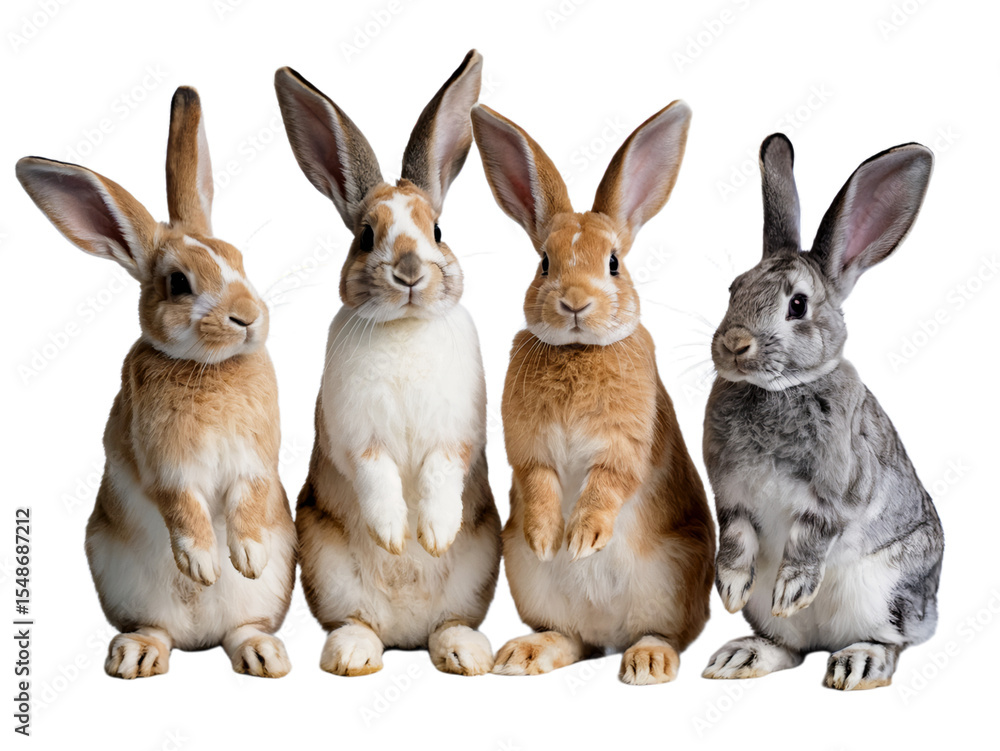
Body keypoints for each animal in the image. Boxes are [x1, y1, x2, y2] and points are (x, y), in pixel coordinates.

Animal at [15, 87, 297, 679]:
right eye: (179, 284)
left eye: (240, 261)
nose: (247, 316)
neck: (209, 367)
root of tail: (200, 640)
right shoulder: (164, 463)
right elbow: (183, 506)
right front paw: (204, 564)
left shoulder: (256, 461)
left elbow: (249, 501)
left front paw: (247, 557)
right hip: (121, 579)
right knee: (156, 629)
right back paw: (137, 657)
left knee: (242, 629)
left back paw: (263, 655)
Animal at [274, 50, 501, 676]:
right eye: (365, 236)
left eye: (438, 231)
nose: (408, 271)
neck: (403, 328)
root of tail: (407, 636)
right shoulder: (354, 436)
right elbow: (375, 476)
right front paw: (397, 537)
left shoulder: (457, 434)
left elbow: (442, 472)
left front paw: (433, 534)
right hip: (324, 564)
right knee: (358, 622)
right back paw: (352, 655)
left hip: (479, 563)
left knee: (449, 623)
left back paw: (465, 653)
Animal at [471, 101, 716, 685]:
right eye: (544, 262)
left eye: (613, 263)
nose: (576, 302)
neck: (580, 350)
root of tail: (609, 634)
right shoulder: (527, 447)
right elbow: (536, 480)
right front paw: (546, 538)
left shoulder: (625, 444)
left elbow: (608, 482)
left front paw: (581, 539)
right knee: (571, 639)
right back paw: (522, 656)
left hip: (675, 577)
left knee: (663, 634)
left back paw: (647, 663)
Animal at [701, 133, 944, 690]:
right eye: (733, 288)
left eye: (797, 305)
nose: (734, 343)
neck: (778, 388)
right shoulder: (731, 498)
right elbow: (737, 543)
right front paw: (729, 592)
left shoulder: (837, 495)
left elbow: (810, 539)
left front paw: (792, 591)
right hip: (782, 625)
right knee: (788, 648)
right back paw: (740, 657)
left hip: (888, 594)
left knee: (891, 643)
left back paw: (856, 664)